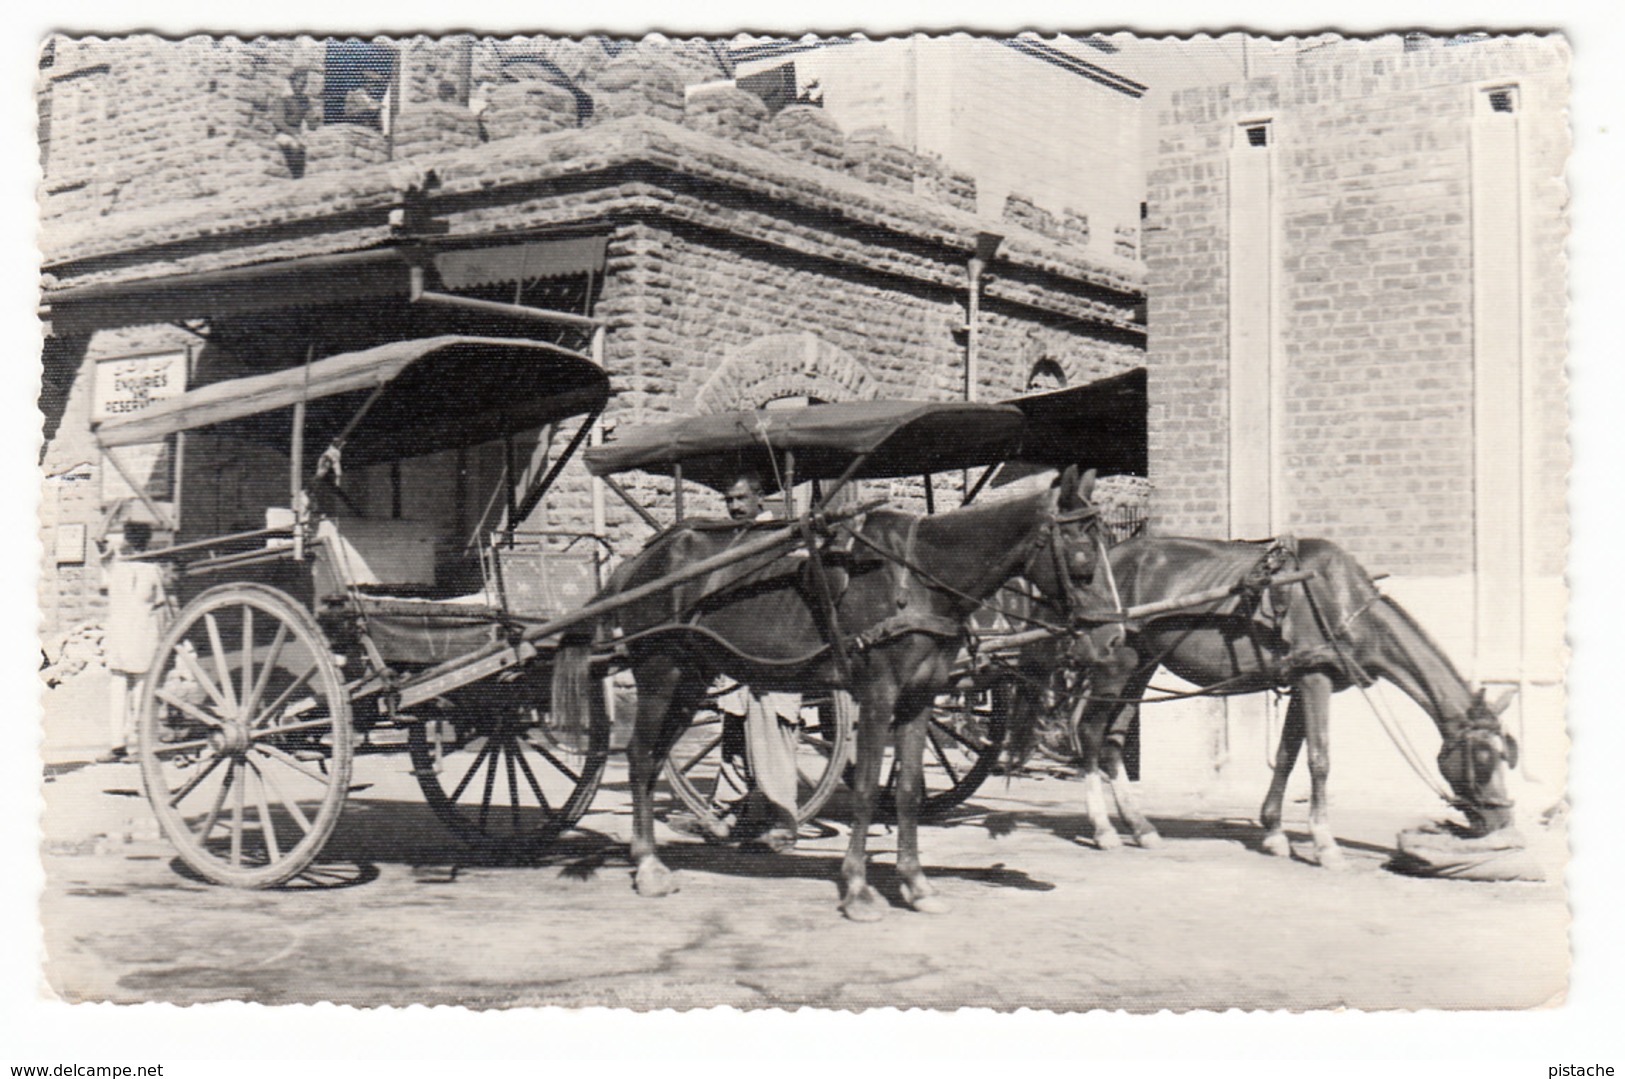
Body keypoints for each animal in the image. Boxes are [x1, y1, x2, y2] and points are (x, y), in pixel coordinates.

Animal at [552, 464, 1098, 916]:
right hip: (660, 672)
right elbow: (866, 790)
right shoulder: (876, 696)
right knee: (640, 756)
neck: (918, 577)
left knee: (653, 760)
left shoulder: (918, 701)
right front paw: (857, 889)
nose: (1100, 636)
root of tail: (641, 560)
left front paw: (916, 884)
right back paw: (647, 865)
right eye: (1081, 553)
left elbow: (906, 790)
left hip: (690, 680)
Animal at [1066, 536, 1521, 871]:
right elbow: (1319, 760)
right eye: (1483, 759)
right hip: (1115, 662)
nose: (1503, 821)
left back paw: (1140, 827)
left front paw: (1273, 832)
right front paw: (1325, 844)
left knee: (1112, 744)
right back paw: (1104, 829)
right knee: (1090, 733)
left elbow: (1286, 755)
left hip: (1141, 665)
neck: (1340, 601)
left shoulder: (1303, 684)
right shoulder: (1314, 680)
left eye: (1505, 756)